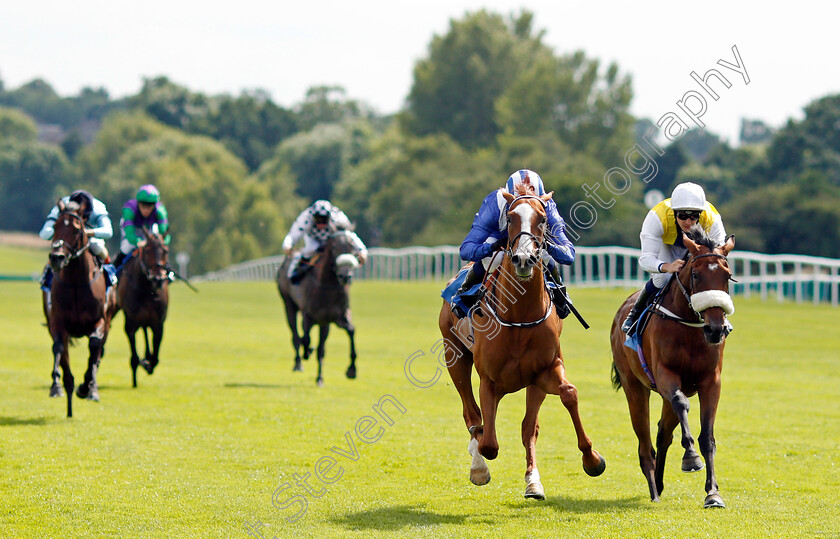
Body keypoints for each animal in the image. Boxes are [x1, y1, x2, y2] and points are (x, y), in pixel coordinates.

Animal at [44, 199, 118, 418]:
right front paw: (60, 387)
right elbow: (59, 349)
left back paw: (92, 390)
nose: (57, 257)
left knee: (98, 352)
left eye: (77, 230)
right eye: (55, 226)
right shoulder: (58, 322)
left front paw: (85, 388)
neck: (76, 283)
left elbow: (94, 347)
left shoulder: (99, 321)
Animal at [116, 228, 171, 388]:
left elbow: (155, 358)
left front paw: (147, 363)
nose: (158, 279)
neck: (147, 288)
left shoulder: (158, 324)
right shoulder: (130, 323)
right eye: (146, 250)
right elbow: (134, 358)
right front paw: (139, 368)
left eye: (165, 251)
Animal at [278, 230, 362, 386]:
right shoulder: (308, 316)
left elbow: (351, 331)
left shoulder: (337, 316)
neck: (327, 286)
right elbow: (305, 339)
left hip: (324, 323)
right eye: (334, 248)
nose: (345, 276)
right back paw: (298, 363)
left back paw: (319, 376)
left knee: (320, 347)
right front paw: (307, 352)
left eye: (353, 248)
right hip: (288, 304)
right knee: (295, 335)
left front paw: (351, 370)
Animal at [440, 188, 604, 500]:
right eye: (511, 218)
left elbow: (568, 394)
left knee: (528, 427)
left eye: (542, 219)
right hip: (453, 354)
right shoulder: (489, 380)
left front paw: (592, 459)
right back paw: (478, 466)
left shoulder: (545, 371)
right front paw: (479, 463)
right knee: (472, 415)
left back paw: (533, 482)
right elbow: (488, 441)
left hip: (531, 384)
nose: (524, 259)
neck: (519, 316)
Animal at [612, 229, 736, 510]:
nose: (715, 329)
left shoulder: (711, 382)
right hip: (634, 387)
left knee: (662, 433)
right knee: (645, 442)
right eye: (696, 275)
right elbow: (681, 403)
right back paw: (653, 489)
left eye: (726, 275)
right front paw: (690, 457)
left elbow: (707, 436)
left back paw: (659, 483)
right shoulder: (665, 374)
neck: (689, 327)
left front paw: (713, 493)